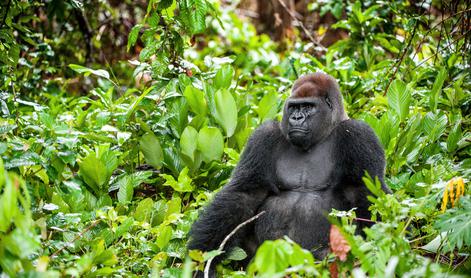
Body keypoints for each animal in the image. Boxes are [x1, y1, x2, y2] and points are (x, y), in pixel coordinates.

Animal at [188, 71, 390, 262]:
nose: (296, 118)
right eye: (293, 107)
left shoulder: (359, 135)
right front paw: (202, 256)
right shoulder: (264, 136)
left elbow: (365, 192)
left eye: (308, 106)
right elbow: (245, 193)